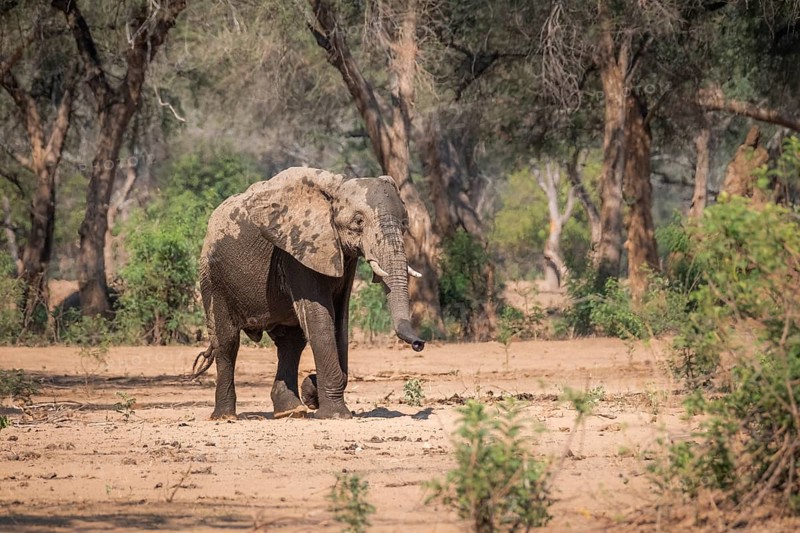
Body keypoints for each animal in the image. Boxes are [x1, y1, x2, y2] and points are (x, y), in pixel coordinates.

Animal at [190, 167, 426, 420]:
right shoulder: (297, 251)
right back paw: (225, 416)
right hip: (212, 276)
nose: (419, 343)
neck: (336, 186)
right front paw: (335, 414)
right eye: (358, 222)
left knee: (290, 343)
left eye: (404, 223)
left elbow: (340, 321)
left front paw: (315, 393)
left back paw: (291, 411)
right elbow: (320, 320)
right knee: (227, 342)